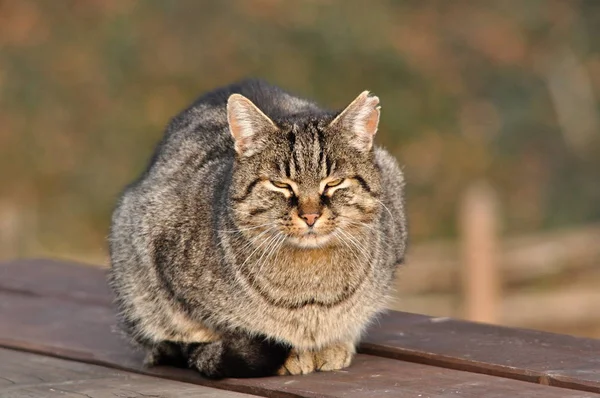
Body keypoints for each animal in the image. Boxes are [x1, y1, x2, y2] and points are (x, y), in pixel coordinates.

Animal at [108, 78, 408, 380]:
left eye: (333, 183)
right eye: (281, 184)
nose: (310, 215)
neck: (311, 286)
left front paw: (333, 344)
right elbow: (214, 329)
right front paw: (291, 353)